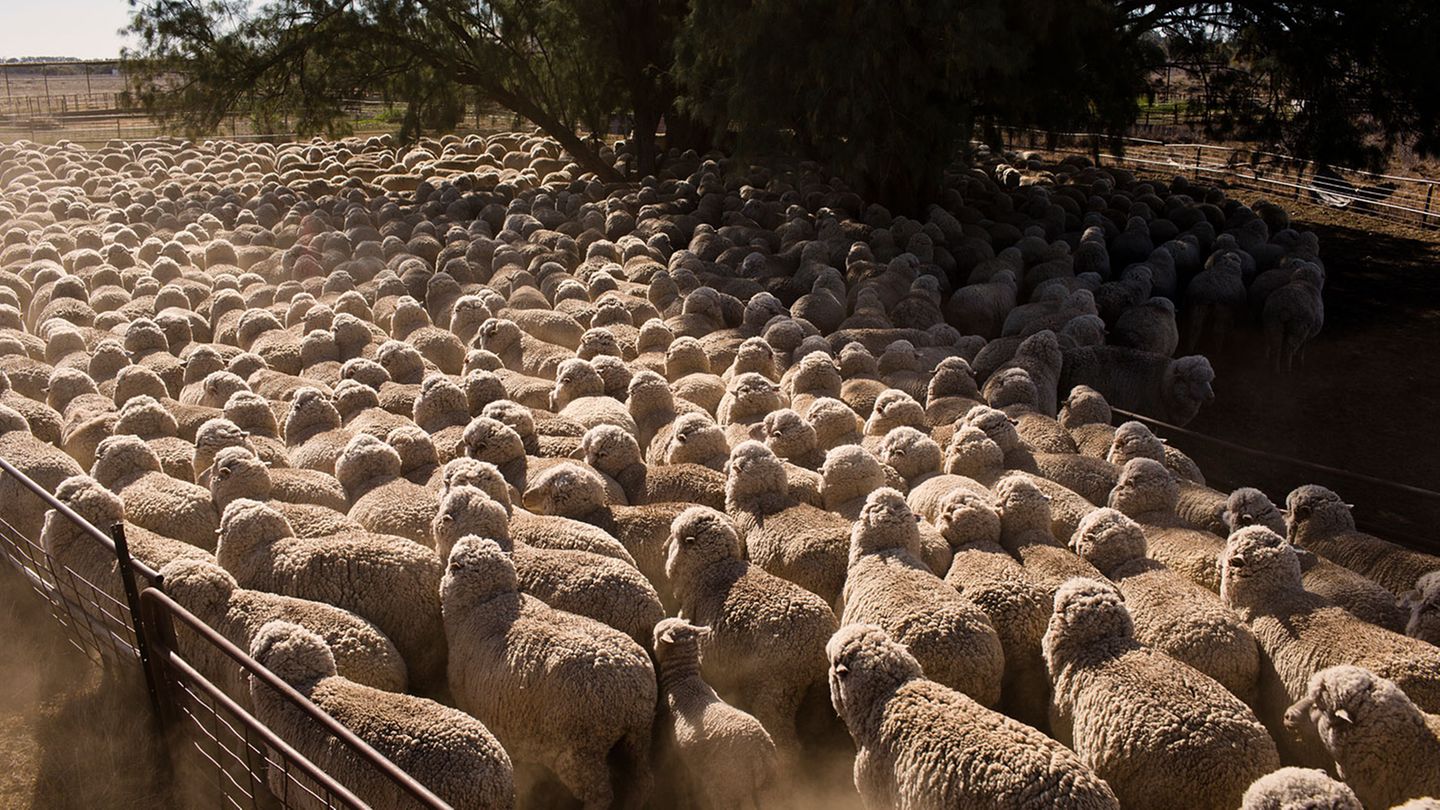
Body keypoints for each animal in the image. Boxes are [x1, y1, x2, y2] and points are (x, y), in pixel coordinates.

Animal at [441, 535, 655, 809]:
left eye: (451, 562)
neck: (485, 603)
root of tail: (632, 685)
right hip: (638, 736)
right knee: (643, 780)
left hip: (580, 751)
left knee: (601, 795)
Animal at [664, 506, 837, 760]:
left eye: (674, 536)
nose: (664, 548)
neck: (712, 569)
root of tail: (817, 640)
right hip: (817, 691)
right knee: (818, 727)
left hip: (776, 689)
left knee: (786, 741)